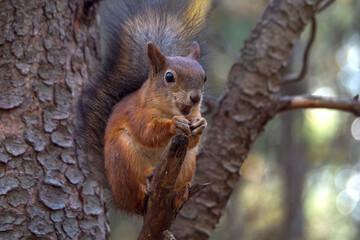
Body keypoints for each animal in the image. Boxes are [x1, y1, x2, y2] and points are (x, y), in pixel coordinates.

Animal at [77, 0, 210, 215]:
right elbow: (147, 133)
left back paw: (180, 192)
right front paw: (174, 124)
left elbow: (192, 141)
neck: (169, 110)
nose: (195, 97)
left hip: (188, 162)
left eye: (204, 77)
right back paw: (145, 184)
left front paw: (201, 124)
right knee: (135, 197)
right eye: (169, 77)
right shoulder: (136, 113)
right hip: (123, 156)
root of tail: (118, 197)